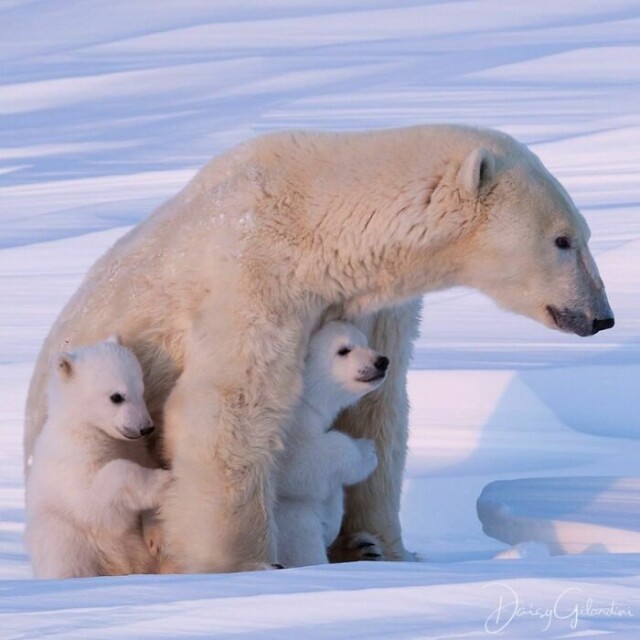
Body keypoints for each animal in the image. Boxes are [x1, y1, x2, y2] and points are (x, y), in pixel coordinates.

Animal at [26, 338, 169, 576]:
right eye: (117, 397)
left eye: (141, 389)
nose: (146, 428)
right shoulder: (73, 459)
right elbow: (94, 501)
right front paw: (165, 480)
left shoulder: (137, 449)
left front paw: (156, 536)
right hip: (68, 538)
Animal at [276, 322, 384, 568]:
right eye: (343, 350)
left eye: (365, 341)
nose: (381, 361)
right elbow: (300, 462)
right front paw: (366, 452)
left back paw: (366, 547)